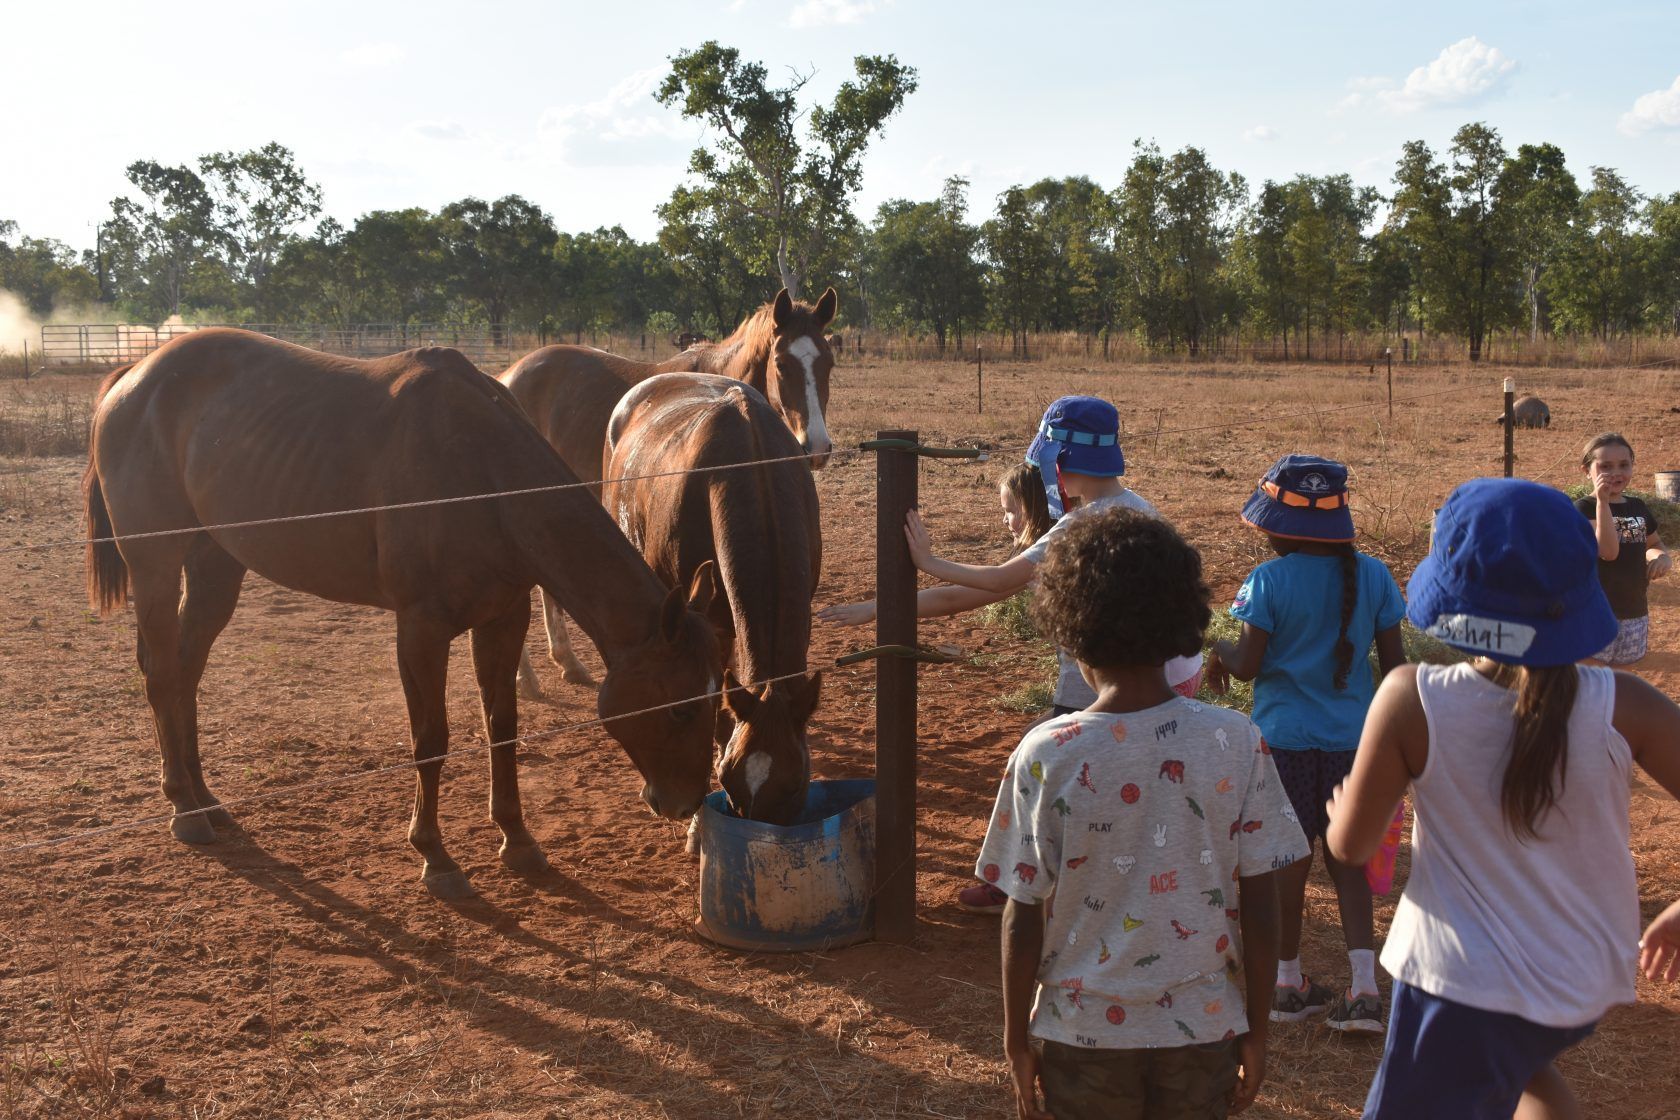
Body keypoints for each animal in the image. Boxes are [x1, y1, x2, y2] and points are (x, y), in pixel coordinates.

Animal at [84, 328, 725, 898]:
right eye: (682, 708)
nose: (685, 802)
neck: (481, 473)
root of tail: (133, 378)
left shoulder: (503, 618)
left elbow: (503, 726)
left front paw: (517, 840)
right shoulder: (421, 628)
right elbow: (431, 738)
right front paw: (435, 857)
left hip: (216, 565)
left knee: (186, 673)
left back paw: (207, 799)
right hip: (156, 566)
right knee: (162, 673)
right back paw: (184, 808)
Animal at [499, 287, 837, 695]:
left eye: (828, 364)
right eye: (783, 364)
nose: (816, 446)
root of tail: (505, 378)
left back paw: (567, 663)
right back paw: (526, 678)